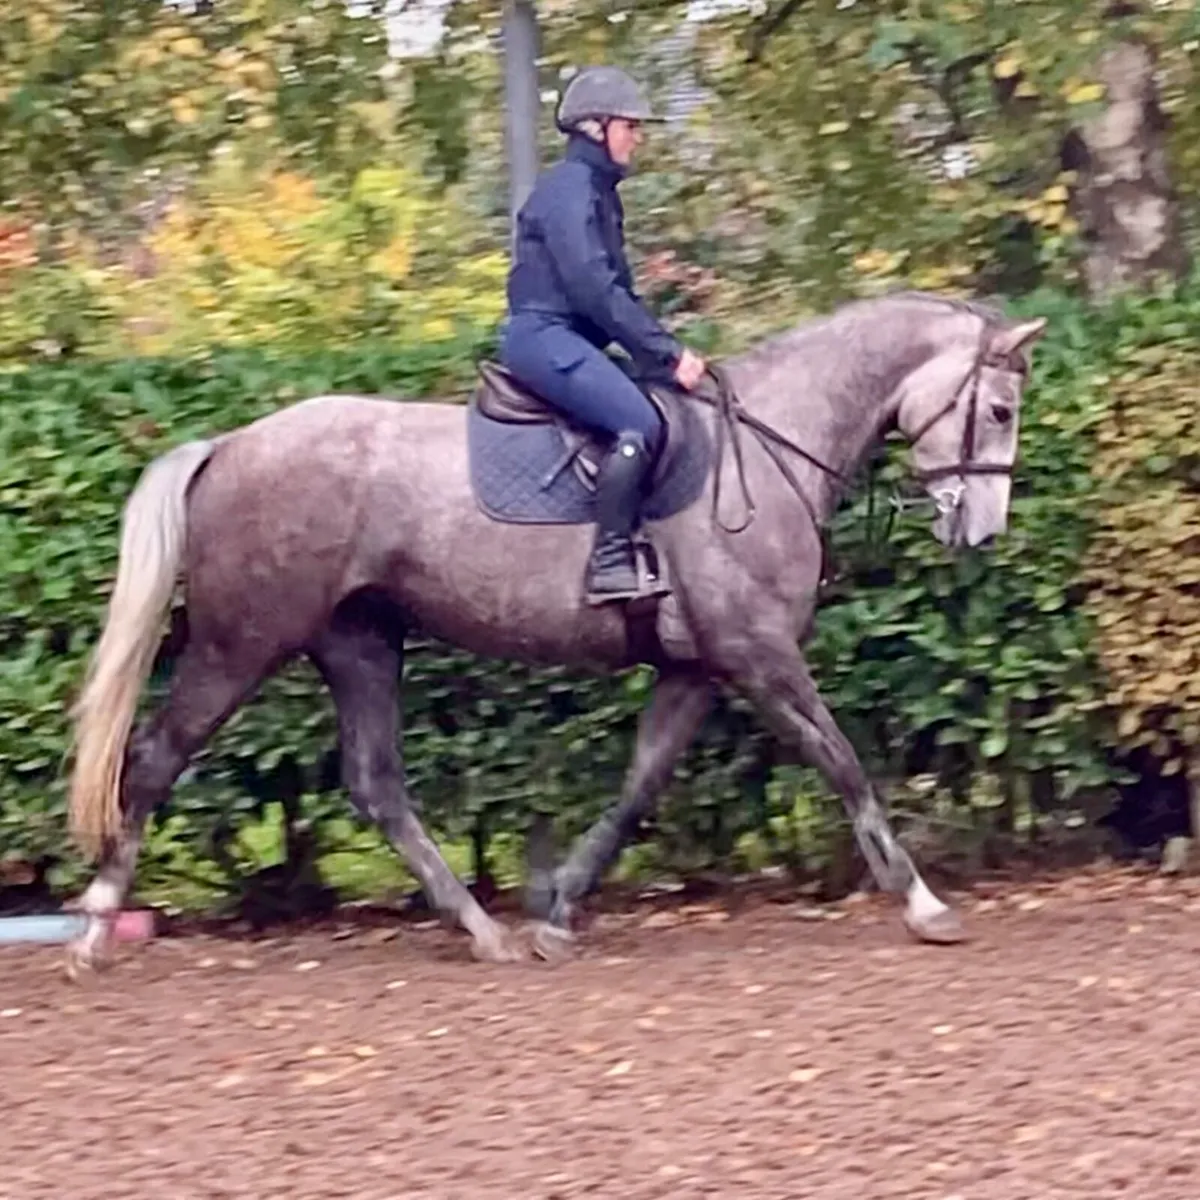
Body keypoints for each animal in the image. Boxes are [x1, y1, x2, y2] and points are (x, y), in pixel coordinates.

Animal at [64, 289, 1047, 975]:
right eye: (999, 411)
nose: (983, 533)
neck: (769, 445)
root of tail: (228, 445)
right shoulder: (758, 655)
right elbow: (843, 763)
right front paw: (923, 904)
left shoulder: (697, 668)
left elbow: (640, 787)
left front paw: (559, 909)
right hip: (241, 644)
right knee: (155, 758)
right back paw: (94, 928)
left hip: (359, 642)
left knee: (376, 786)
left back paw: (482, 929)